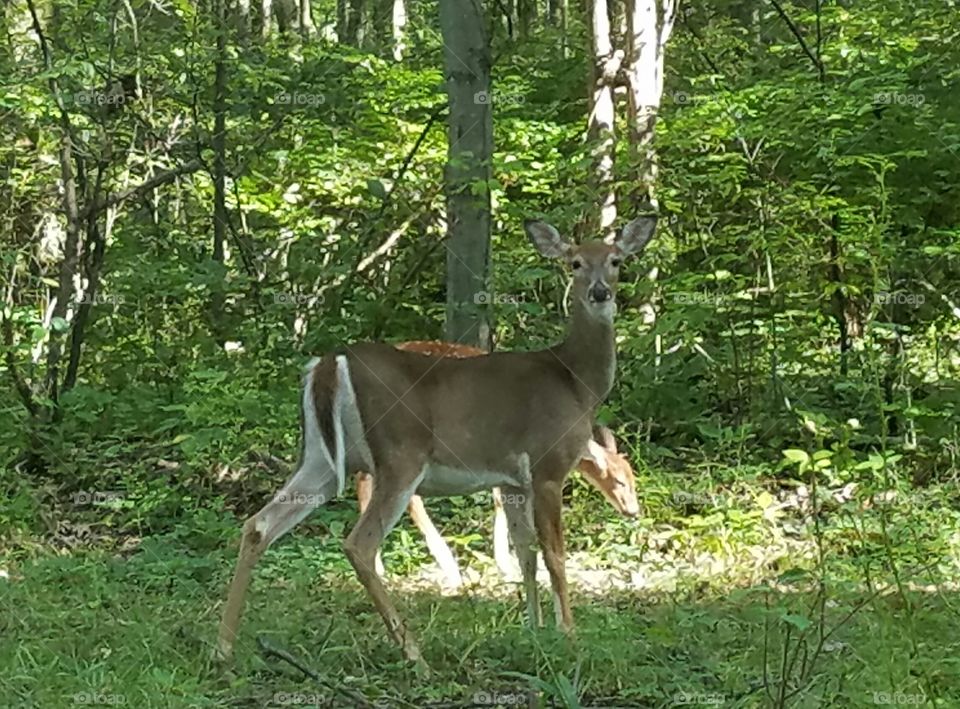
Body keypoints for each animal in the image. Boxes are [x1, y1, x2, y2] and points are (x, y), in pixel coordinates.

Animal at [356, 340, 639, 589]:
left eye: (633, 479)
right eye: (619, 481)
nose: (633, 511)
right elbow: (501, 500)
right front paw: (507, 564)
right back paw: (445, 568)